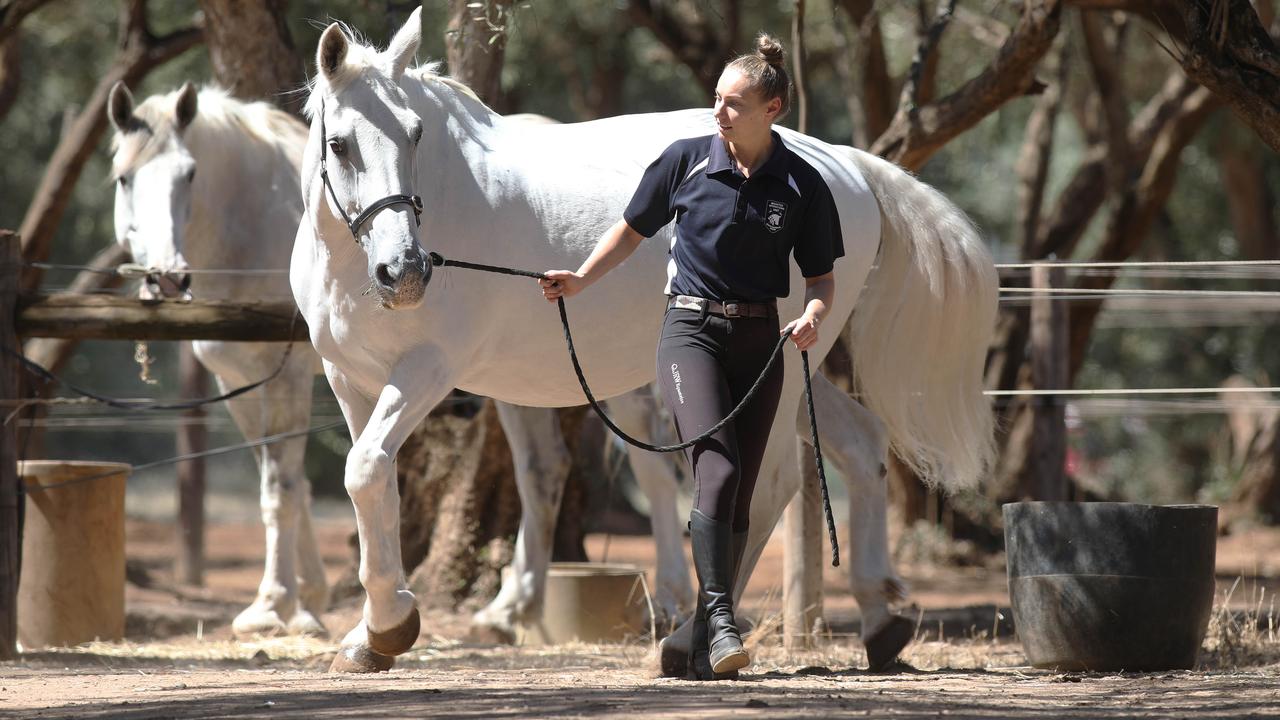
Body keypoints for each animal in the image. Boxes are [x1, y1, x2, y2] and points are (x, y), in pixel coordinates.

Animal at [294, 11, 993, 671]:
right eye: (340, 144)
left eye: (416, 135)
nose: (406, 271)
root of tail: (845, 164)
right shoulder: (348, 378)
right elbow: (374, 483)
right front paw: (370, 636)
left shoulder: (428, 370)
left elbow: (365, 471)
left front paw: (389, 626)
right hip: (795, 361)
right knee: (860, 443)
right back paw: (880, 621)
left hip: (777, 374)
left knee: (766, 485)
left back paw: (692, 639)